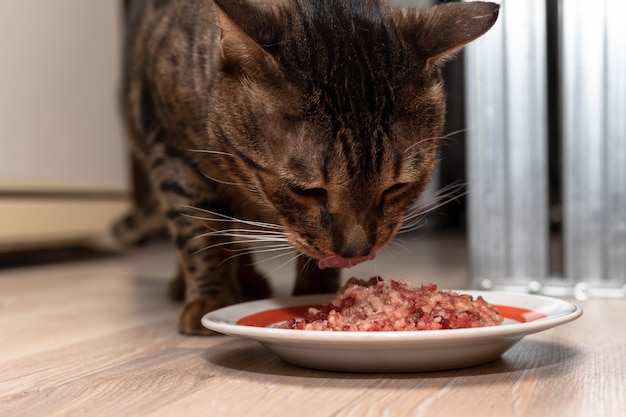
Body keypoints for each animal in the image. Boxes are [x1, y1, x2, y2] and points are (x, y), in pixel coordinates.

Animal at [117, 0, 498, 334]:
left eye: (396, 188)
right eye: (307, 191)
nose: (355, 253)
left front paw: (314, 293)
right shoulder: (173, 155)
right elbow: (201, 236)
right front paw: (212, 297)